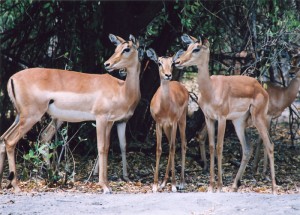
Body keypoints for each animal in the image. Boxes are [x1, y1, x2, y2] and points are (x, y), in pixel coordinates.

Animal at [0, 34, 142, 193]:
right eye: (116, 48)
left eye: (126, 49)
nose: (107, 64)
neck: (122, 90)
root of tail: (12, 78)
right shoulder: (101, 118)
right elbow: (101, 148)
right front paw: (104, 186)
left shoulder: (111, 121)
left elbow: (108, 147)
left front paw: (107, 184)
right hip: (31, 117)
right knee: (11, 141)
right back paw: (17, 186)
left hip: (20, 117)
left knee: (3, 139)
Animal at [146, 48, 189, 191]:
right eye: (159, 62)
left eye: (172, 63)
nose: (168, 75)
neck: (164, 106)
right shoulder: (159, 123)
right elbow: (159, 149)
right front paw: (155, 185)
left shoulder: (174, 122)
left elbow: (173, 148)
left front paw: (174, 185)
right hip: (167, 127)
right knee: (171, 143)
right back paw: (164, 182)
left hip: (182, 120)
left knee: (183, 144)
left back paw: (181, 182)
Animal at [175, 33, 278, 193]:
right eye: (187, 47)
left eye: (196, 49)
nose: (177, 62)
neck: (211, 89)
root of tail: (261, 87)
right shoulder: (209, 118)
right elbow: (211, 146)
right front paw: (211, 186)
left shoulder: (222, 119)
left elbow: (219, 147)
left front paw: (219, 186)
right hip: (238, 123)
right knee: (247, 148)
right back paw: (235, 186)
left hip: (258, 119)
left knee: (270, 145)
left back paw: (273, 188)